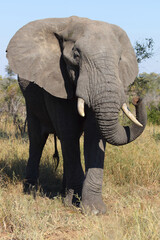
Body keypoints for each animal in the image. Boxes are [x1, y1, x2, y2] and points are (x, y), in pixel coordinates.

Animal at [6, 16, 147, 214]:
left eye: (119, 59)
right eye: (76, 56)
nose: (137, 99)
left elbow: (94, 136)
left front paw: (94, 209)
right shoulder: (56, 79)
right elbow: (69, 133)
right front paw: (76, 203)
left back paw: (63, 192)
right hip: (30, 100)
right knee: (37, 140)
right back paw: (31, 190)